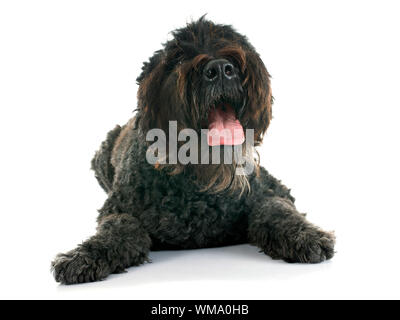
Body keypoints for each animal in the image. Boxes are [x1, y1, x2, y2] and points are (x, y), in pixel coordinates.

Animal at [51, 17, 336, 284]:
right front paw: (84, 256)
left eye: (232, 40)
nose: (220, 68)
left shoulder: (272, 189)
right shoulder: (118, 208)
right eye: (177, 58)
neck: (200, 185)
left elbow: (276, 209)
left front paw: (306, 235)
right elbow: (120, 227)